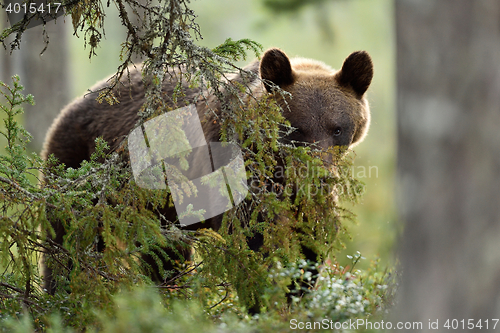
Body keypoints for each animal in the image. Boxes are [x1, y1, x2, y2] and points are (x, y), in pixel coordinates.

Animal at [41, 46, 374, 296]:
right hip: (81, 171)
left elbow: (312, 241)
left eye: (337, 128)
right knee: (65, 245)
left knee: (163, 257)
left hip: (159, 212)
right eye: (295, 128)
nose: (319, 175)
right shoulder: (241, 180)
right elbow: (255, 242)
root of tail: (71, 105)